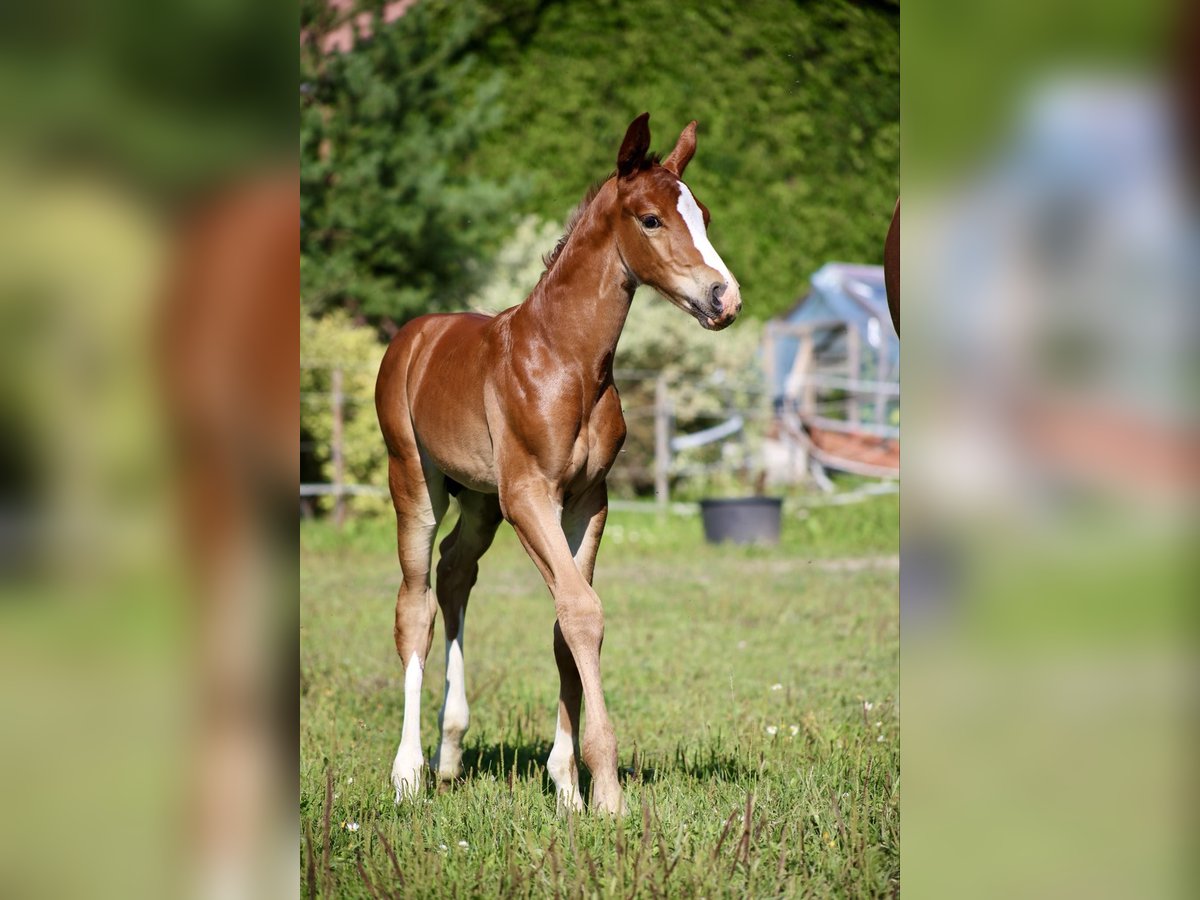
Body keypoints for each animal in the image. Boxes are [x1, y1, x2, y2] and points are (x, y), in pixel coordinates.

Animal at [374, 114, 739, 816]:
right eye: (651, 219)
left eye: (703, 215)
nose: (724, 297)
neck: (566, 358)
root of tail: (414, 334)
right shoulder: (528, 496)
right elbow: (582, 611)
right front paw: (606, 790)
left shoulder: (586, 501)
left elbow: (565, 623)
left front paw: (567, 783)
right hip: (416, 482)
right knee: (415, 604)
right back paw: (407, 772)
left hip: (480, 500)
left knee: (456, 572)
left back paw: (450, 753)